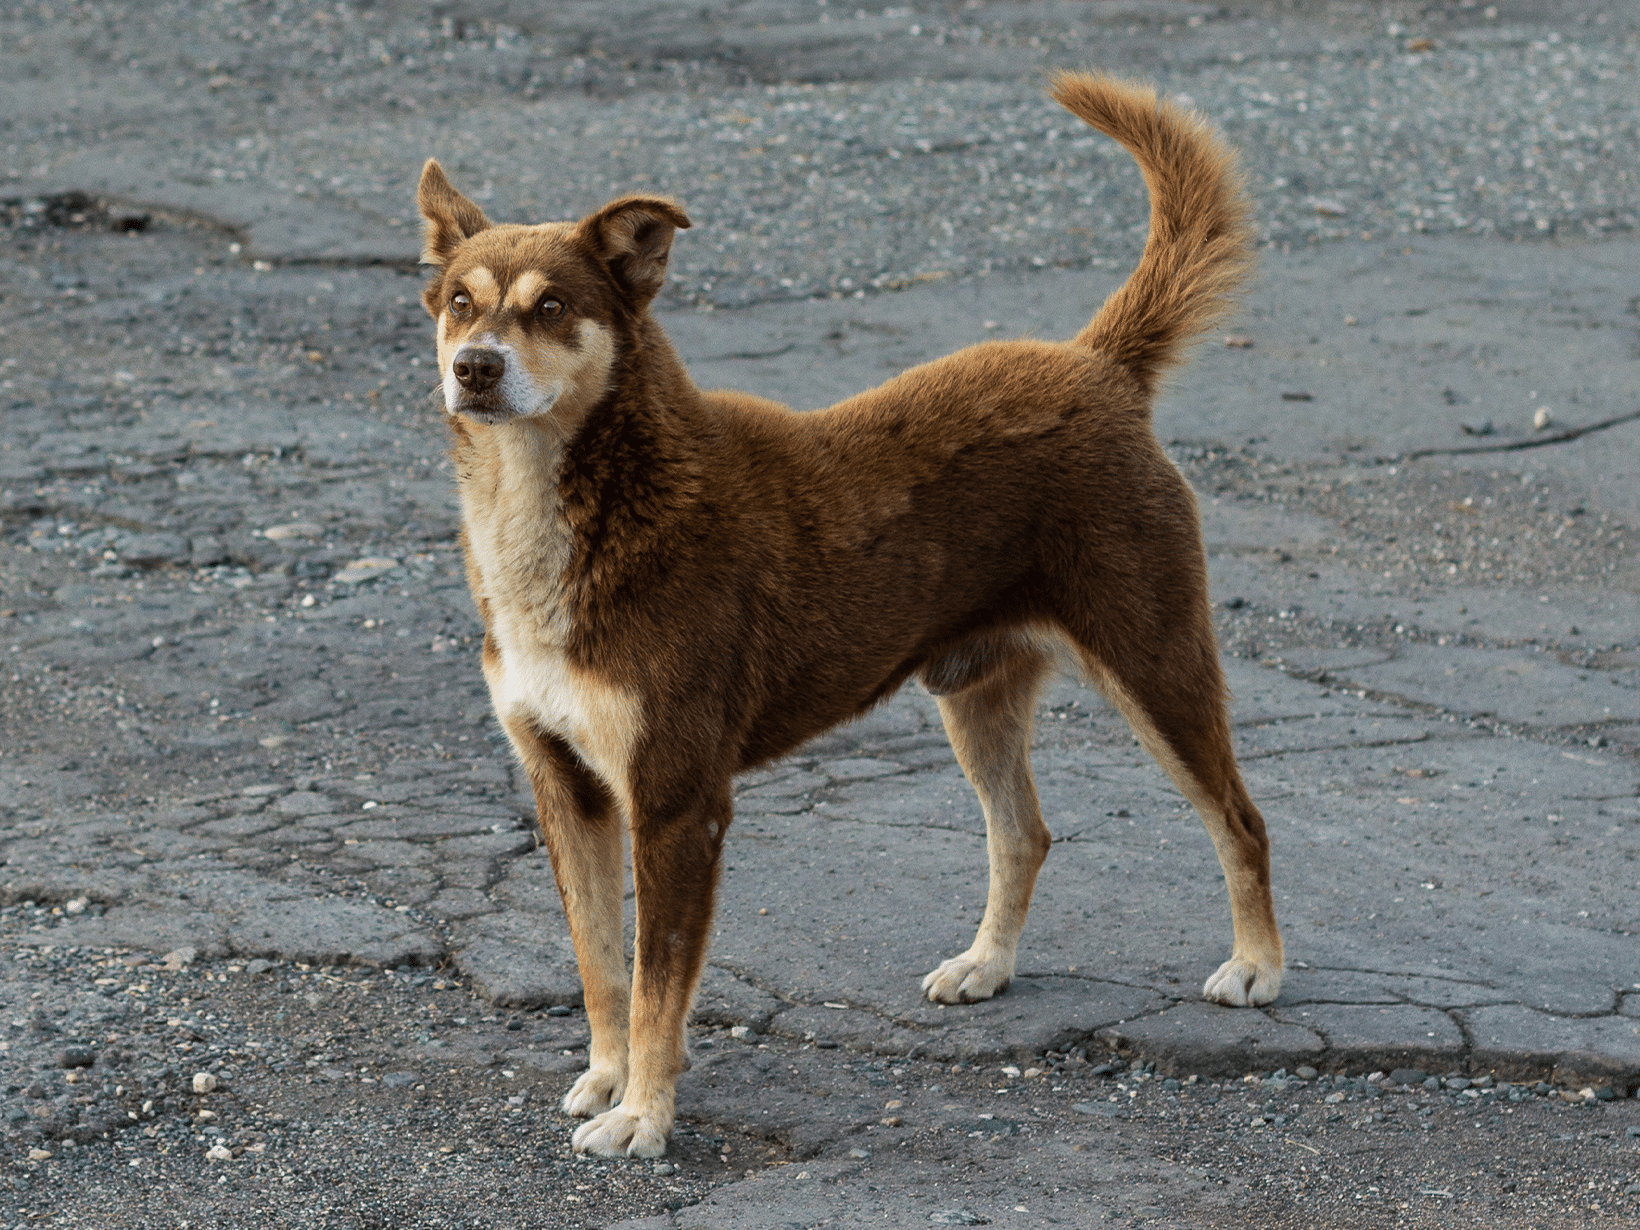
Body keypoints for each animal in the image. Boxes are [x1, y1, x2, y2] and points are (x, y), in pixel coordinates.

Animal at [419, 74, 1279, 1154]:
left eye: (553, 307)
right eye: (460, 302)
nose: (476, 368)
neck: (580, 504)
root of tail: (1097, 367)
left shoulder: (678, 800)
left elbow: (659, 984)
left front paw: (644, 1115)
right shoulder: (564, 785)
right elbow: (600, 965)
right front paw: (607, 1077)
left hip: (1156, 661)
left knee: (1239, 819)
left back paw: (1257, 966)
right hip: (977, 695)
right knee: (1023, 834)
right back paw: (986, 964)